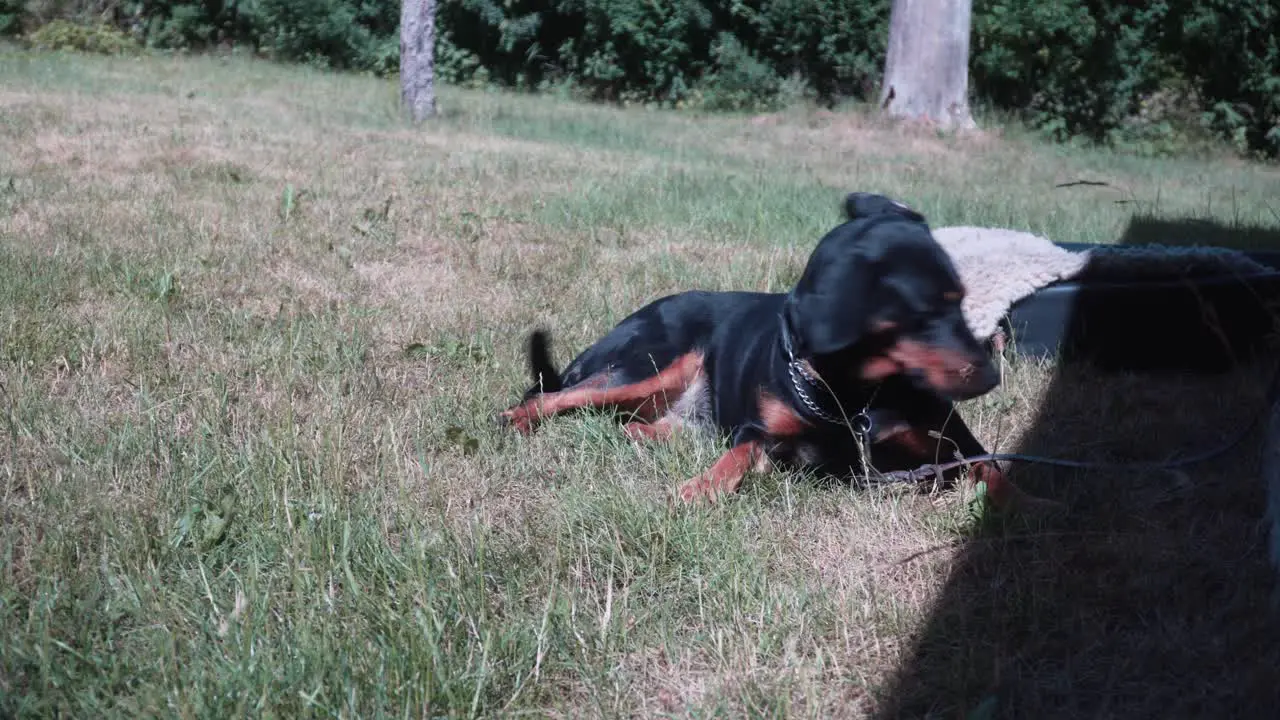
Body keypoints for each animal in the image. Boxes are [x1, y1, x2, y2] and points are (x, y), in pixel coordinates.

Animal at [496, 192, 1049, 509]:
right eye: (928, 312)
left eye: (961, 298)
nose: (992, 377)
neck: (854, 393)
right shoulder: (759, 433)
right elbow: (737, 456)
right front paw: (700, 488)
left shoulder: (956, 445)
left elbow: (994, 470)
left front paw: (1029, 506)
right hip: (648, 363)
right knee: (556, 397)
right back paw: (514, 422)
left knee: (638, 425)